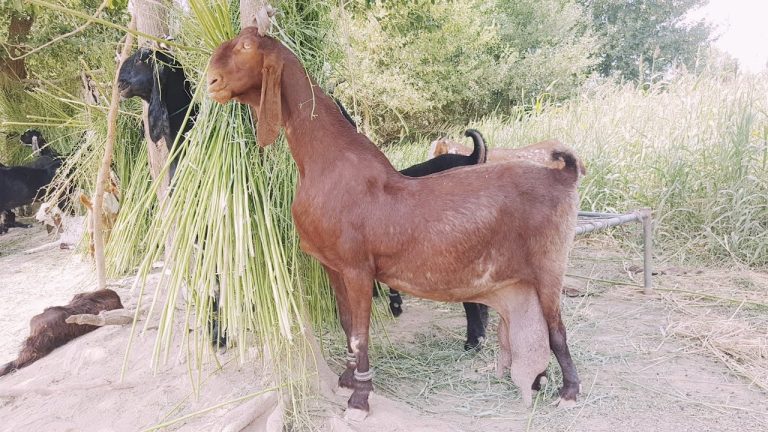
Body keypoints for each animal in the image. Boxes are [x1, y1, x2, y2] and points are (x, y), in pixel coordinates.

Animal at [207, 28, 582, 415]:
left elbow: (360, 334)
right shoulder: (334, 266)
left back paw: (569, 391)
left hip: (549, 264)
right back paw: (535, 380)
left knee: (556, 325)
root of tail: (563, 176)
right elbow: (347, 324)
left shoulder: (358, 268)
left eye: (246, 47)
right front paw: (346, 380)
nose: (212, 82)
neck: (325, 164)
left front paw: (360, 398)